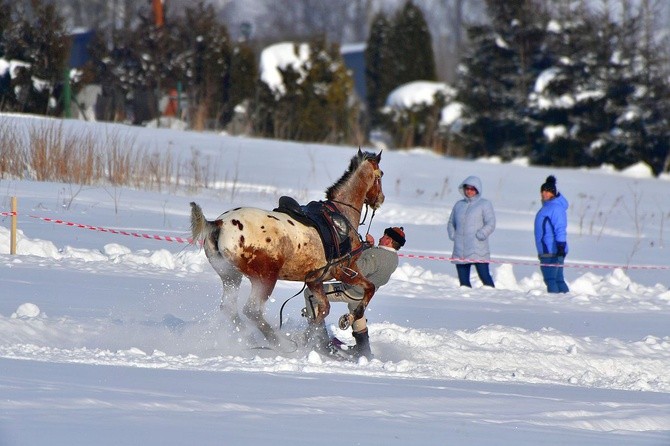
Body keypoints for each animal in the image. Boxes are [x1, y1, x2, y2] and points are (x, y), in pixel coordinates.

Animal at [192, 150, 386, 352]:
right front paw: (349, 317)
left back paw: (249, 339)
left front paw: (309, 337)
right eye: (380, 176)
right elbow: (369, 288)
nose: (381, 199)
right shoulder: (345, 271)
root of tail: (219, 224)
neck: (342, 214)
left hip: (231, 277)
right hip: (265, 279)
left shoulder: (314, 280)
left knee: (229, 309)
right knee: (252, 311)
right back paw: (276, 342)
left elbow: (324, 308)